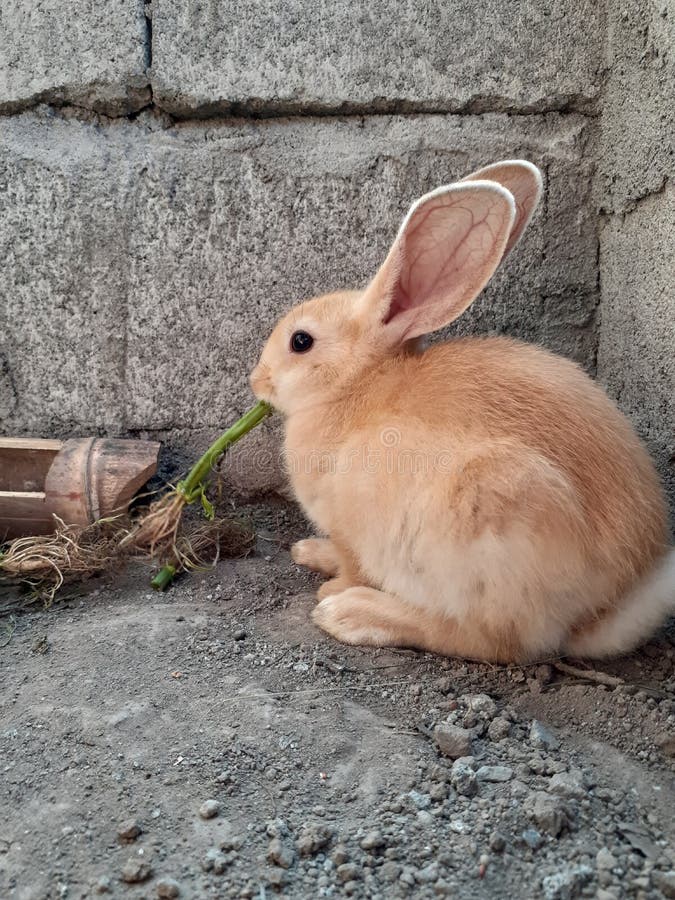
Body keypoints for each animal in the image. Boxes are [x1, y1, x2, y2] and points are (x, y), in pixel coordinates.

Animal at [251, 162, 672, 664]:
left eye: (301, 341)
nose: (256, 380)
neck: (356, 385)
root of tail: (609, 608)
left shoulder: (352, 528)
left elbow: (354, 566)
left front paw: (331, 589)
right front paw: (310, 553)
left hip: (491, 528)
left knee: (486, 639)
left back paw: (353, 614)